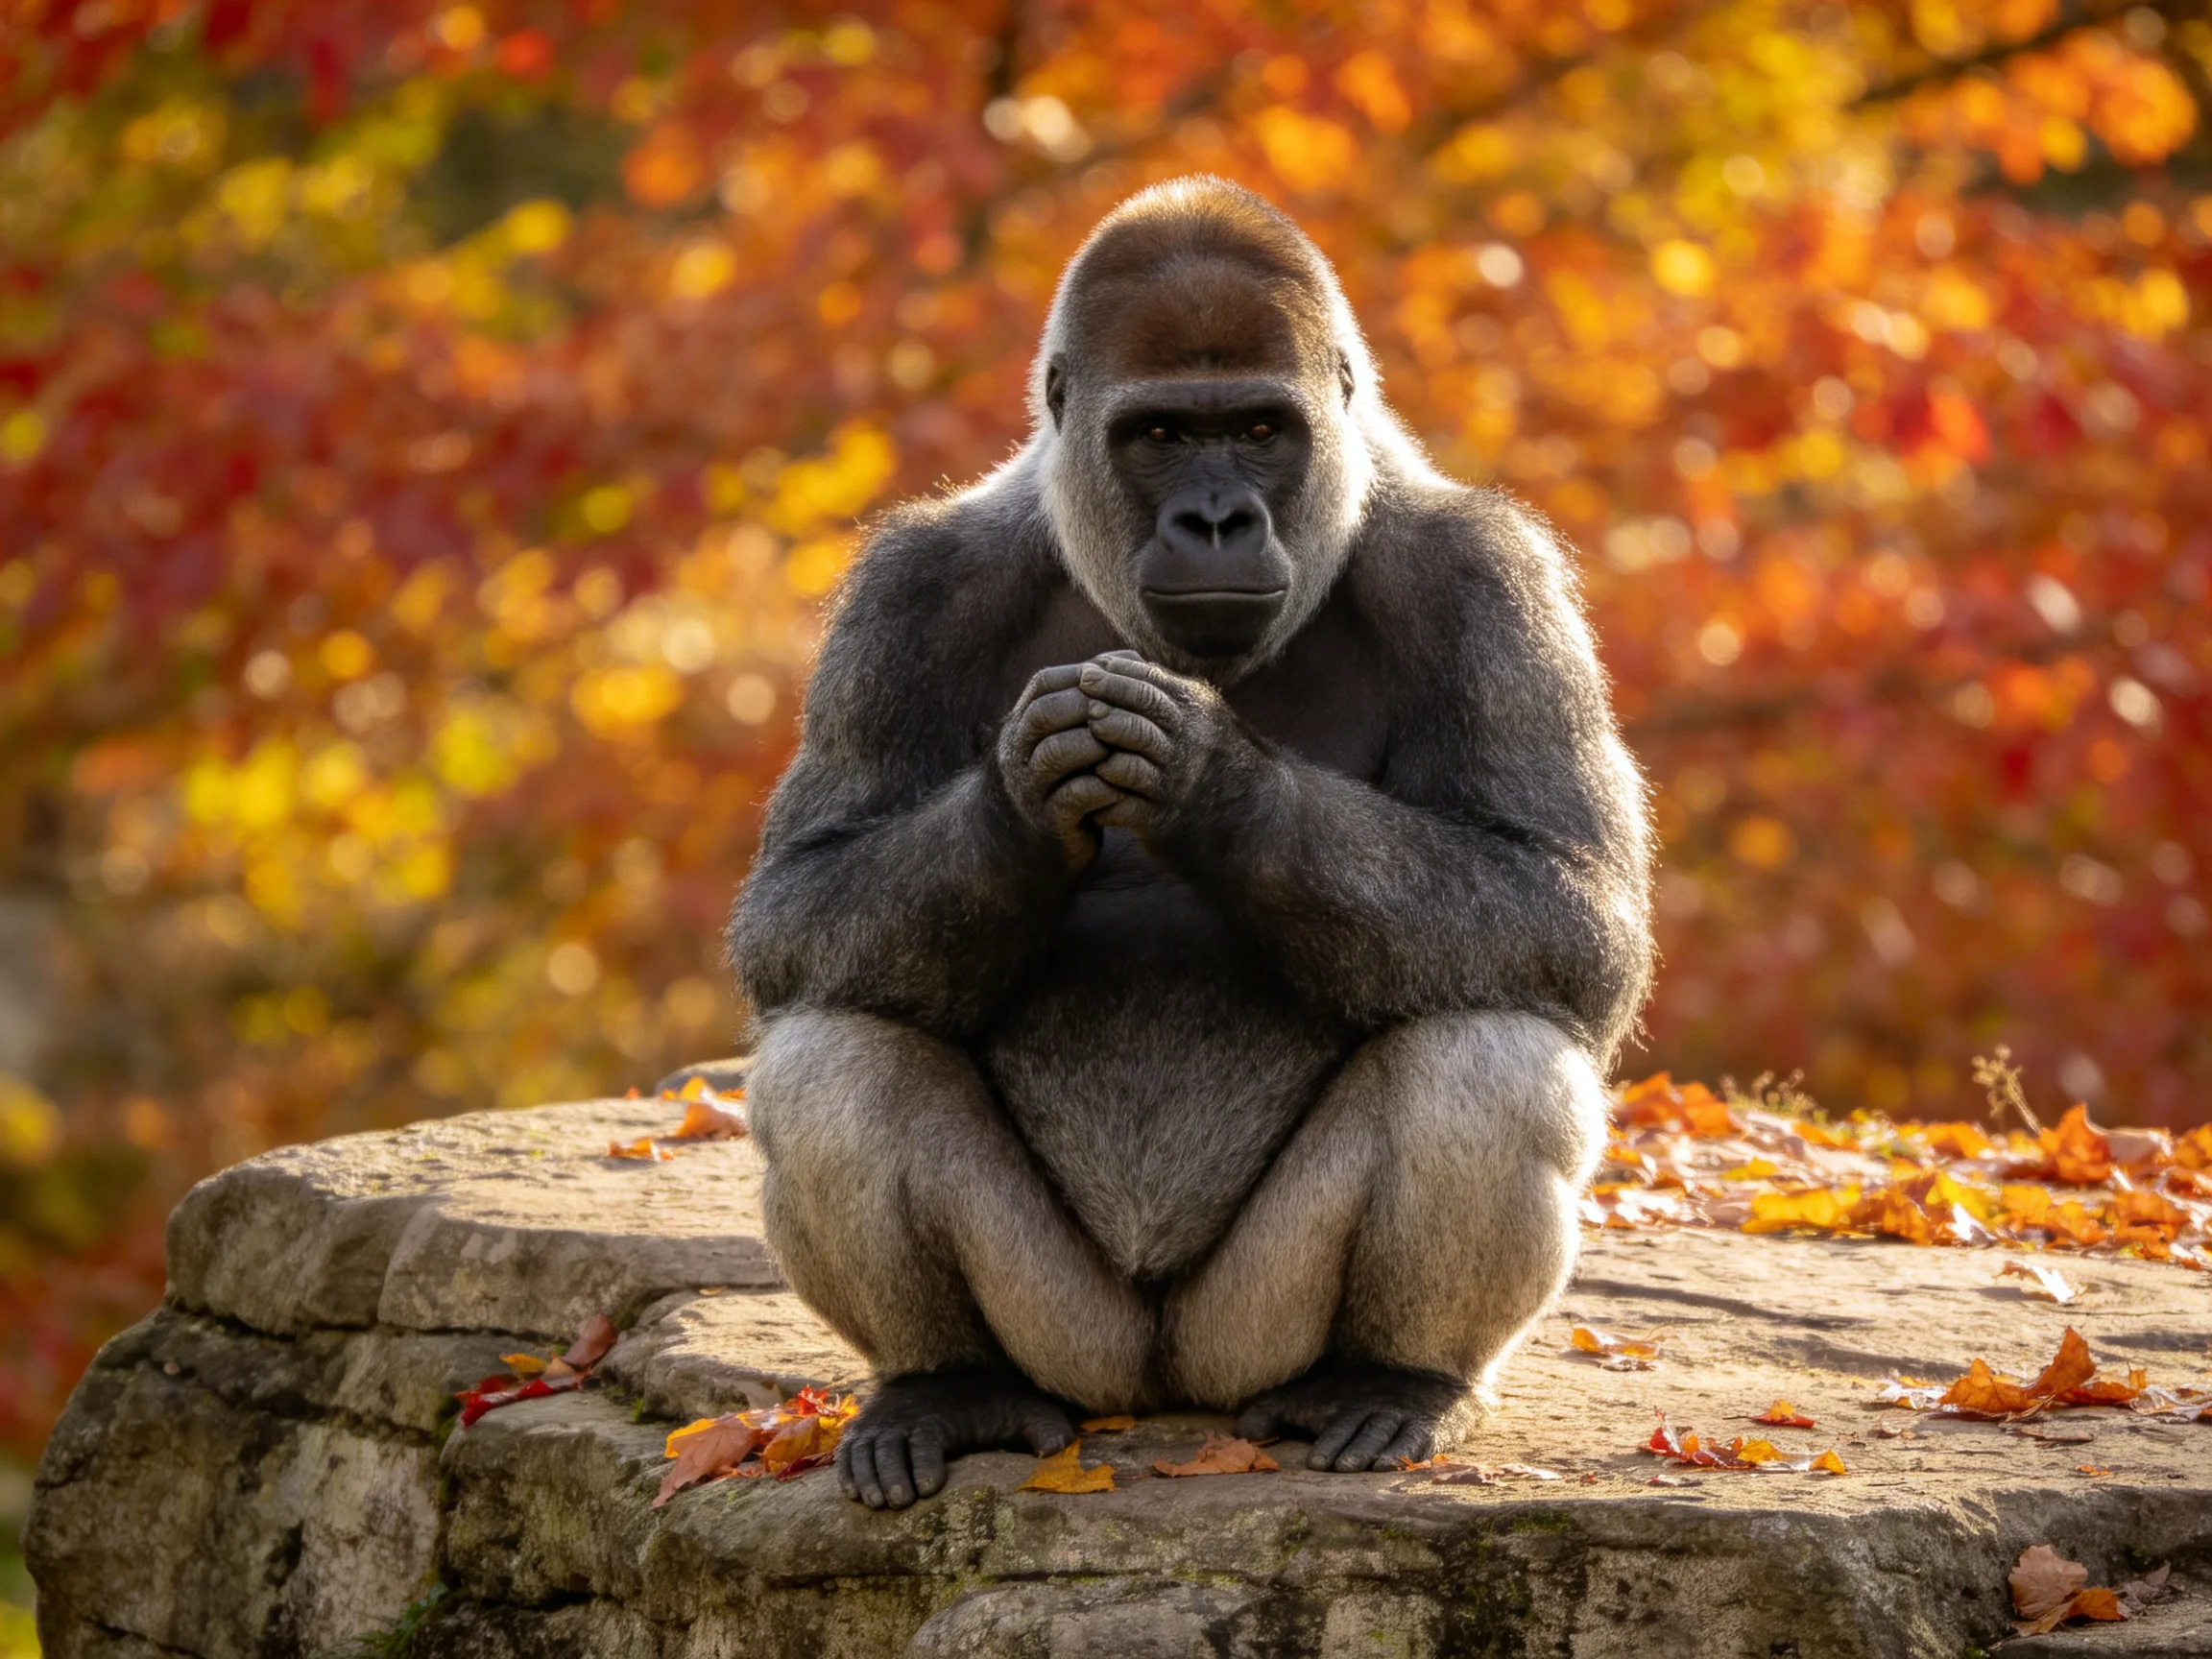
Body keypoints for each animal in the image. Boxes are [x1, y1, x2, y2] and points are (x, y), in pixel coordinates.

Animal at [725, 177, 1653, 1510]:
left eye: (1261, 429)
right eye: (1160, 436)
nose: (1216, 518)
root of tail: (1156, 1398)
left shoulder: (1490, 576)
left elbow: (1568, 909)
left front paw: (1209, 772)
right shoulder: (906, 588)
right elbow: (797, 914)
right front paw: (1020, 803)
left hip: (1242, 1339)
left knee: (1491, 1046)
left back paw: (1391, 1380)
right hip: (1074, 1344)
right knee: (834, 1052)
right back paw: (949, 1384)